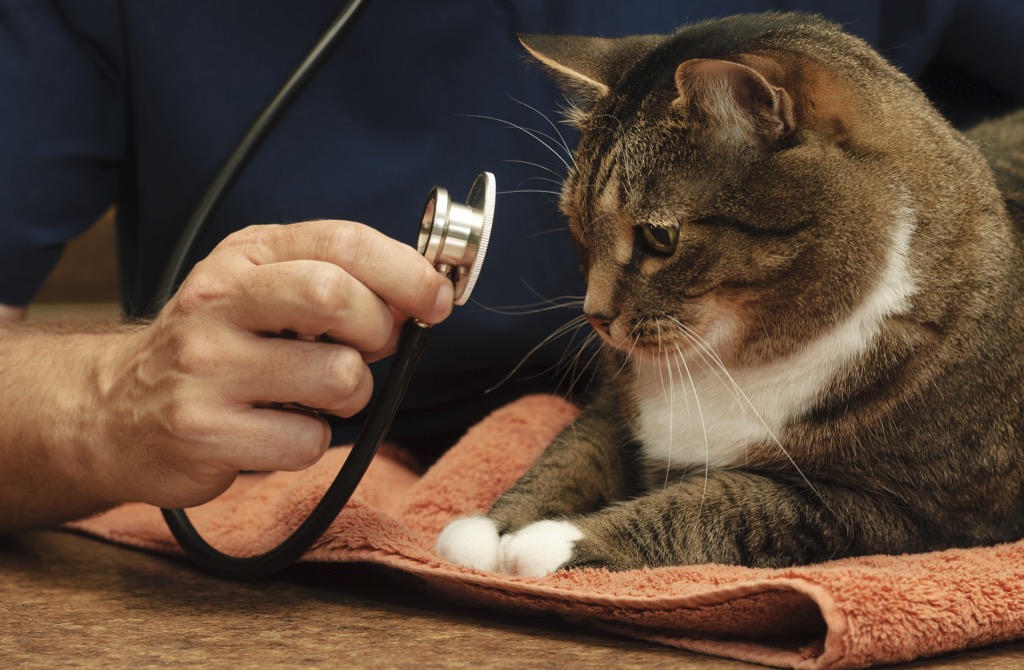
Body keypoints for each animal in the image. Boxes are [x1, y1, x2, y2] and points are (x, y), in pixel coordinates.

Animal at [434, 10, 1024, 577]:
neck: (724, 361)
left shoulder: (894, 510)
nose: (595, 315)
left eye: (660, 237)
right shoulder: (612, 411)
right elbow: (570, 455)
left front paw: (556, 542)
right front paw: (487, 532)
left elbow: (717, 505)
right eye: (578, 226)